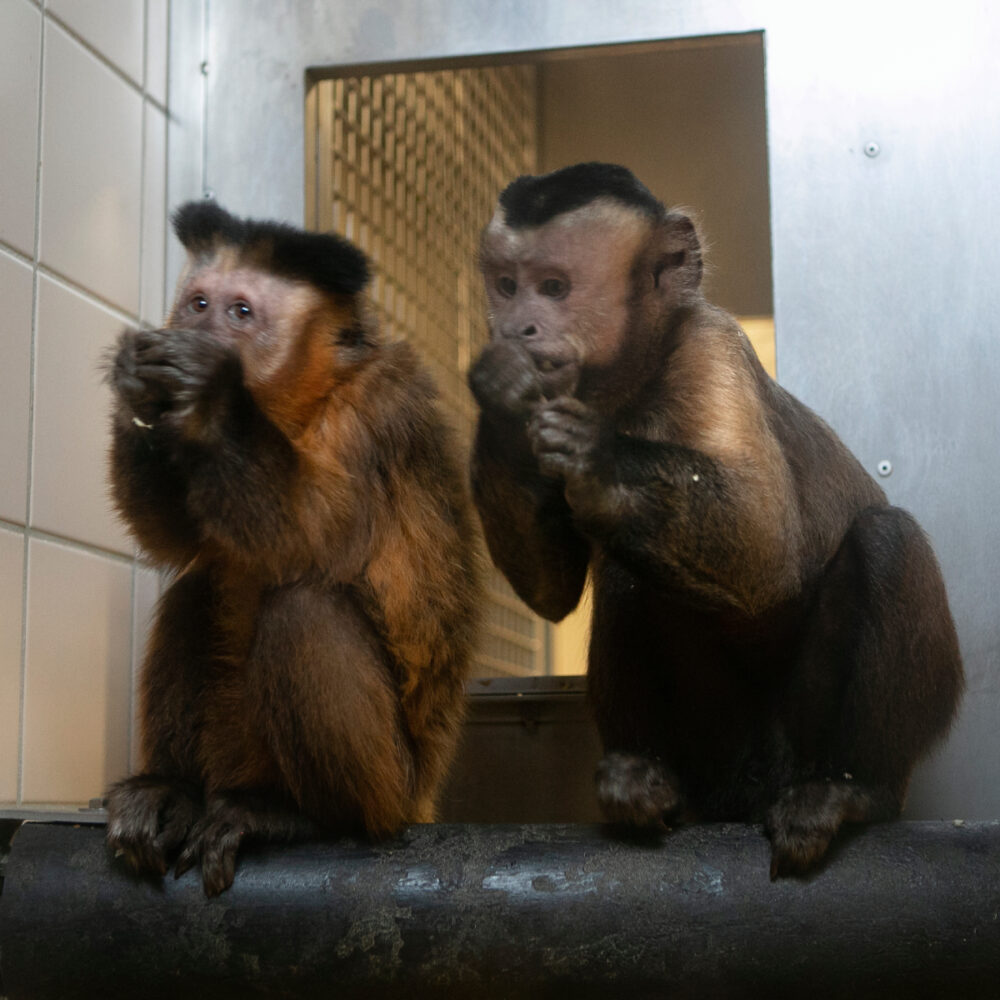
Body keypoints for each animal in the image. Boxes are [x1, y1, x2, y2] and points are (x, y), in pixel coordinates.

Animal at [104, 201, 480, 895]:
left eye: (240, 313)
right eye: (198, 303)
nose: (202, 328)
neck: (292, 408)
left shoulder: (382, 405)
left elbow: (310, 533)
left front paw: (211, 393)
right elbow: (177, 540)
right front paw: (136, 389)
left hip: (394, 786)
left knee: (302, 606)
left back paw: (306, 817)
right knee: (199, 592)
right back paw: (172, 789)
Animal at [468, 162, 963, 878]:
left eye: (554, 288)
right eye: (507, 288)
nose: (518, 329)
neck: (632, 382)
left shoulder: (710, 348)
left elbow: (768, 549)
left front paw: (600, 458)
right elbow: (551, 591)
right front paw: (503, 395)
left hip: (801, 742)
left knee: (886, 540)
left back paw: (853, 791)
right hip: (715, 747)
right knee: (629, 572)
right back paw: (648, 782)